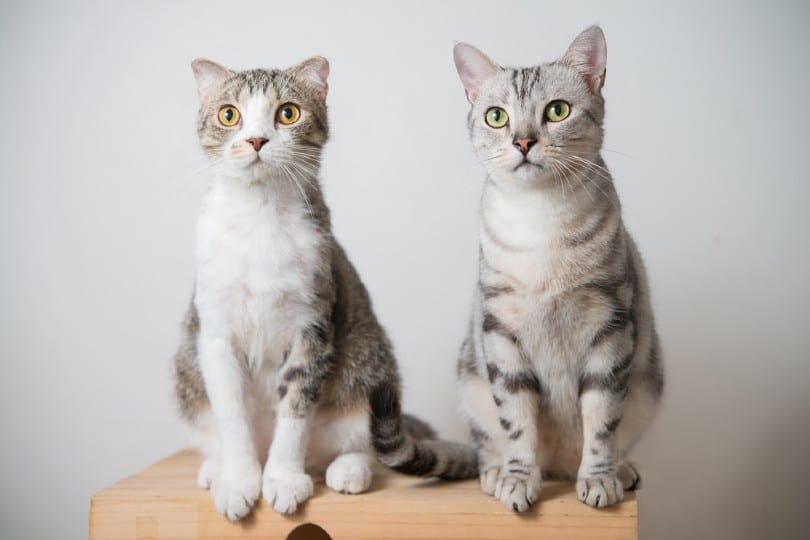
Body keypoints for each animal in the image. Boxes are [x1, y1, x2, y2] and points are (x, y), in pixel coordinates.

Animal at [170, 54, 474, 520]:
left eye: (287, 113)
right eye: (229, 115)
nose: (256, 139)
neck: (260, 220)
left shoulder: (313, 323)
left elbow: (296, 408)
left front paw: (282, 478)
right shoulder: (214, 332)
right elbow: (231, 412)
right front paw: (239, 480)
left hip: (366, 363)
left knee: (359, 437)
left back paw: (346, 470)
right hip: (188, 372)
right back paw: (215, 468)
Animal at [448, 26, 664, 516]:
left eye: (557, 111)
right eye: (496, 117)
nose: (523, 142)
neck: (541, 223)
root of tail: (560, 469)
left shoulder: (610, 324)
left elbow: (601, 421)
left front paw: (599, 480)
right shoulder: (501, 333)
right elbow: (517, 424)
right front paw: (517, 480)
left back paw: (620, 471)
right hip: (471, 380)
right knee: (488, 442)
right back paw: (494, 473)